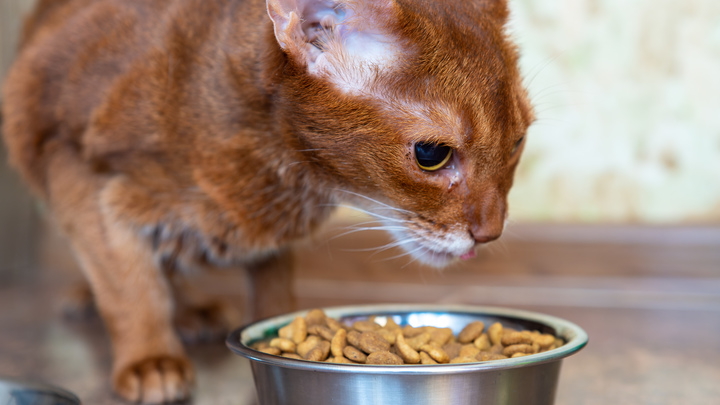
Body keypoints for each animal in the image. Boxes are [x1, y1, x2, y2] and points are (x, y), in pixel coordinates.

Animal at [1, 0, 536, 400]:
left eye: (517, 142)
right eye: (431, 154)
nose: (492, 232)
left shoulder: (275, 233)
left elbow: (274, 283)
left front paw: (284, 327)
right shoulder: (73, 164)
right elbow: (128, 285)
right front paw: (151, 359)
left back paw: (192, 310)